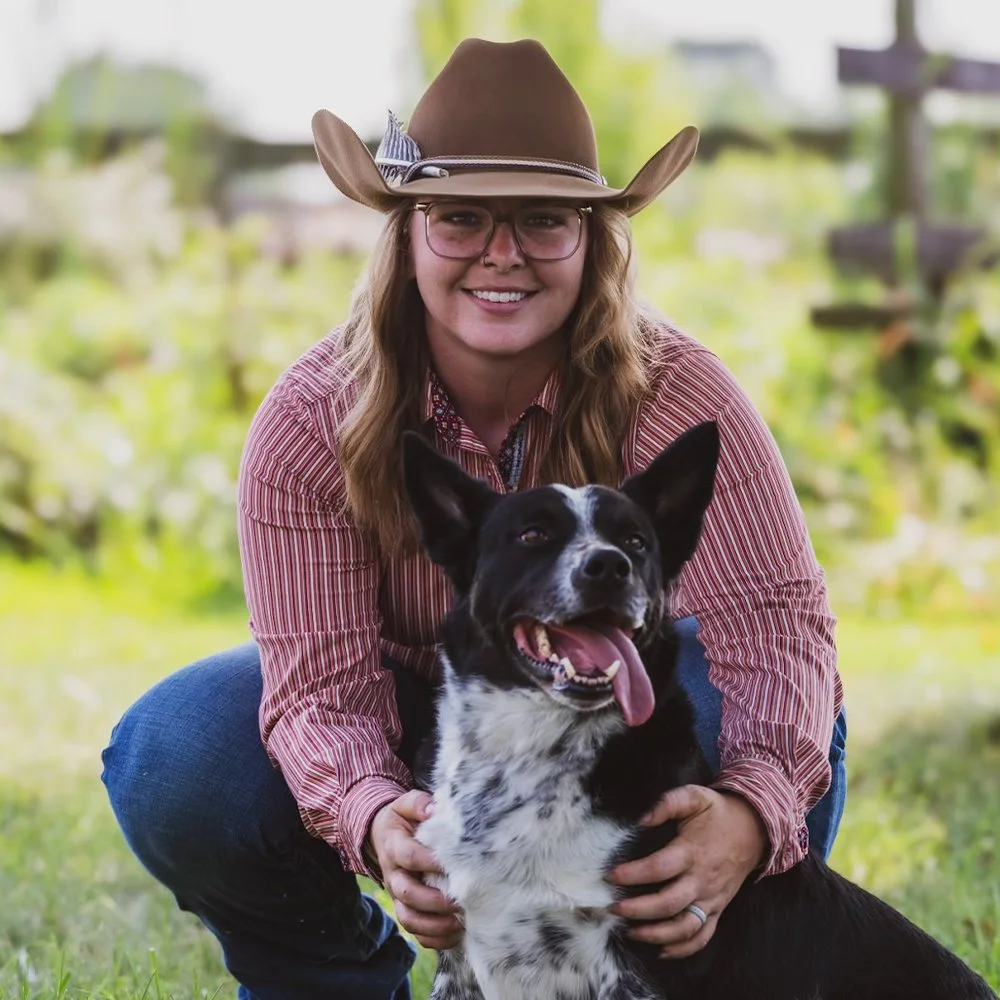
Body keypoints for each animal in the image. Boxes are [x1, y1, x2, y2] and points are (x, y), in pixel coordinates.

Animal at [400, 423, 997, 1000]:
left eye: (635, 542)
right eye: (532, 535)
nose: (610, 566)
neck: (530, 761)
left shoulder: (638, 962)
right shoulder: (460, 958)